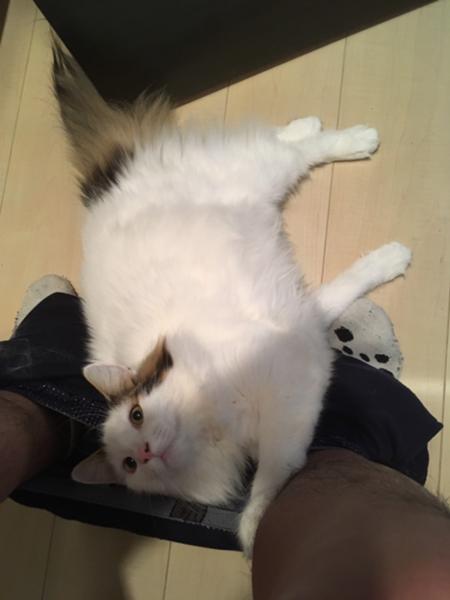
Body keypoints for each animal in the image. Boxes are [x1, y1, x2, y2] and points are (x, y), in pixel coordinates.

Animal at [52, 43, 411, 556]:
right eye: (129, 466)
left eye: (138, 415)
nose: (145, 451)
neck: (215, 421)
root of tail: (109, 182)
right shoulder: (303, 330)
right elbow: (334, 294)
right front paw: (388, 260)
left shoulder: (292, 386)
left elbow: (273, 477)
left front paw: (255, 529)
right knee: (281, 140)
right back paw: (309, 123)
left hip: (257, 175)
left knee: (297, 152)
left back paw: (358, 138)